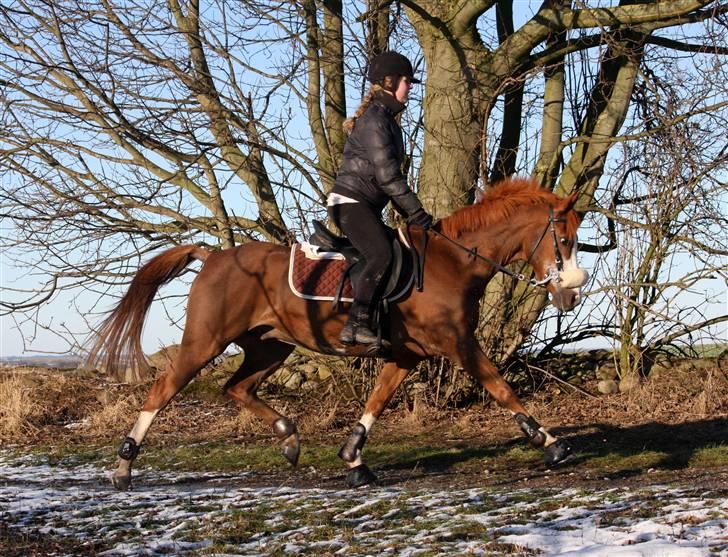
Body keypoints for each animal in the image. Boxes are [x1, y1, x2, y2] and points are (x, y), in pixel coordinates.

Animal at [92, 176, 592, 488]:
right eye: (565, 240)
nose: (571, 296)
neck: (453, 262)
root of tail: (212, 256)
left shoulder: (407, 355)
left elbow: (377, 402)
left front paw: (353, 458)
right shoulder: (459, 344)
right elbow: (501, 388)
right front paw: (552, 445)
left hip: (269, 347)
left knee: (237, 387)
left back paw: (289, 437)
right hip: (204, 342)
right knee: (162, 391)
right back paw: (123, 469)